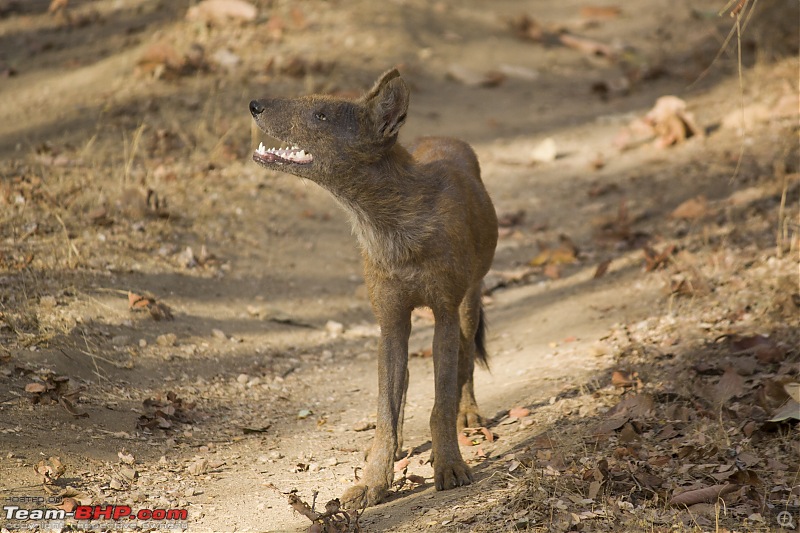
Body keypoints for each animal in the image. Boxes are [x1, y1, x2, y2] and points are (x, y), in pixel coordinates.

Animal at [248, 69, 500, 508]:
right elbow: (386, 410)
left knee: (467, 360)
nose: (254, 104)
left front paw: (450, 466)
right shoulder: (390, 320)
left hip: (470, 302)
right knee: (403, 387)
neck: (390, 225)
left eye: (322, 114)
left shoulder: (445, 313)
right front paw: (373, 481)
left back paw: (469, 414)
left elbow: (442, 401)